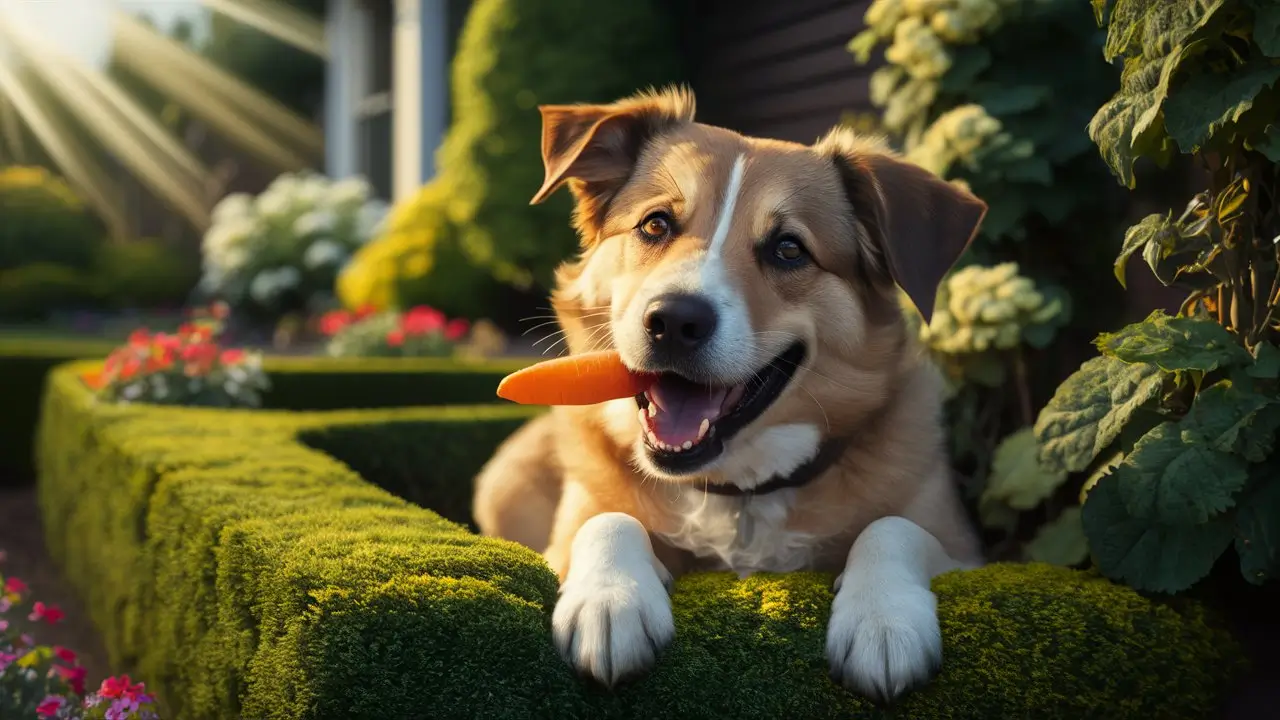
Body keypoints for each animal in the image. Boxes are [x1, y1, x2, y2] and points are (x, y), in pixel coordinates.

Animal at [476, 85, 983, 702]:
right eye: (655, 225)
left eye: (789, 248)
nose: (674, 321)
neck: (738, 496)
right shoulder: (567, 535)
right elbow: (607, 519)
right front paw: (610, 602)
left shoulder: (969, 553)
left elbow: (893, 527)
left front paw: (883, 620)